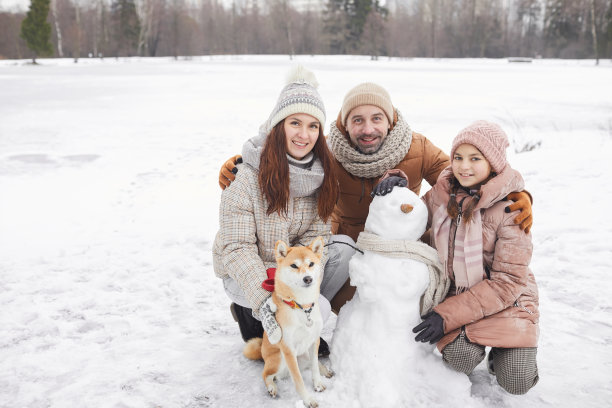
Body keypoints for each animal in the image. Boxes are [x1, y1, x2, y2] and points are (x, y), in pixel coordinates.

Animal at [241, 236, 332, 408]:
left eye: (311, 264)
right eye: (294, 265)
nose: (308, 278)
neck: (302, 307)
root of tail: (262, 352)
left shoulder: (314, 341)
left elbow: (315, 367)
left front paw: (317, 383)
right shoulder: (288, 349)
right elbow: (298, 380)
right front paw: (308, 399)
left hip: (304, 354)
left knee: (313, 363)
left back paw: (325, 370)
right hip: (279, 359)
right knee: (266, 374)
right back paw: (272, 387)